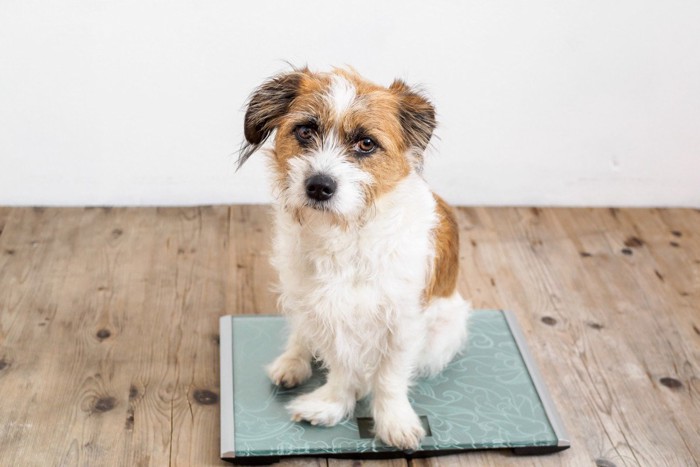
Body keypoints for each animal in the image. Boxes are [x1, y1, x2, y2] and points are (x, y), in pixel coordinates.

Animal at [237, 67, 470, 452]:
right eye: (305, 130)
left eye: (366, 144)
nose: (319, 186)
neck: (345, 234)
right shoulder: (325, 312)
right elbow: (341, 363)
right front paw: (332, 404)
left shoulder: (403, 321)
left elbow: (390, 376)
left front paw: (394, 422)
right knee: (302, 336)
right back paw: (291, 363)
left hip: (445, 332)